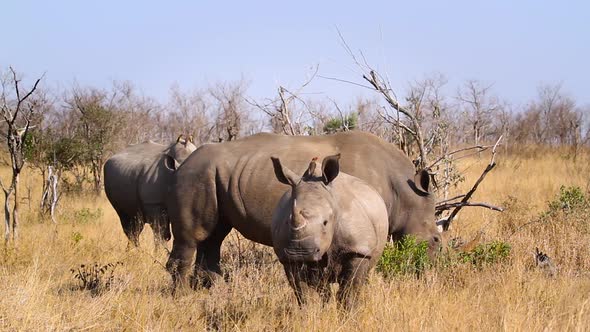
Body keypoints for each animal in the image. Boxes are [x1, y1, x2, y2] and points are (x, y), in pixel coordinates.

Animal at [166, 131, 440, 286]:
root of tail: (181, 165)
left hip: (214, 175)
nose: (429, 277)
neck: (406, 194)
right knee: (193, 238)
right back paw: (183, 298)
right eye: (436, 240)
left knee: (213, 237)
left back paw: (212, 293)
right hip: (196, 175)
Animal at [272, 154, 390, 308]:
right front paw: (310, 312)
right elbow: (303, 292)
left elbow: (349, 291)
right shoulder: (287, 257)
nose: (300, 253)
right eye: (287, 221)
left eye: (325, 222)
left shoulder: (358, 249)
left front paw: (349, 313)